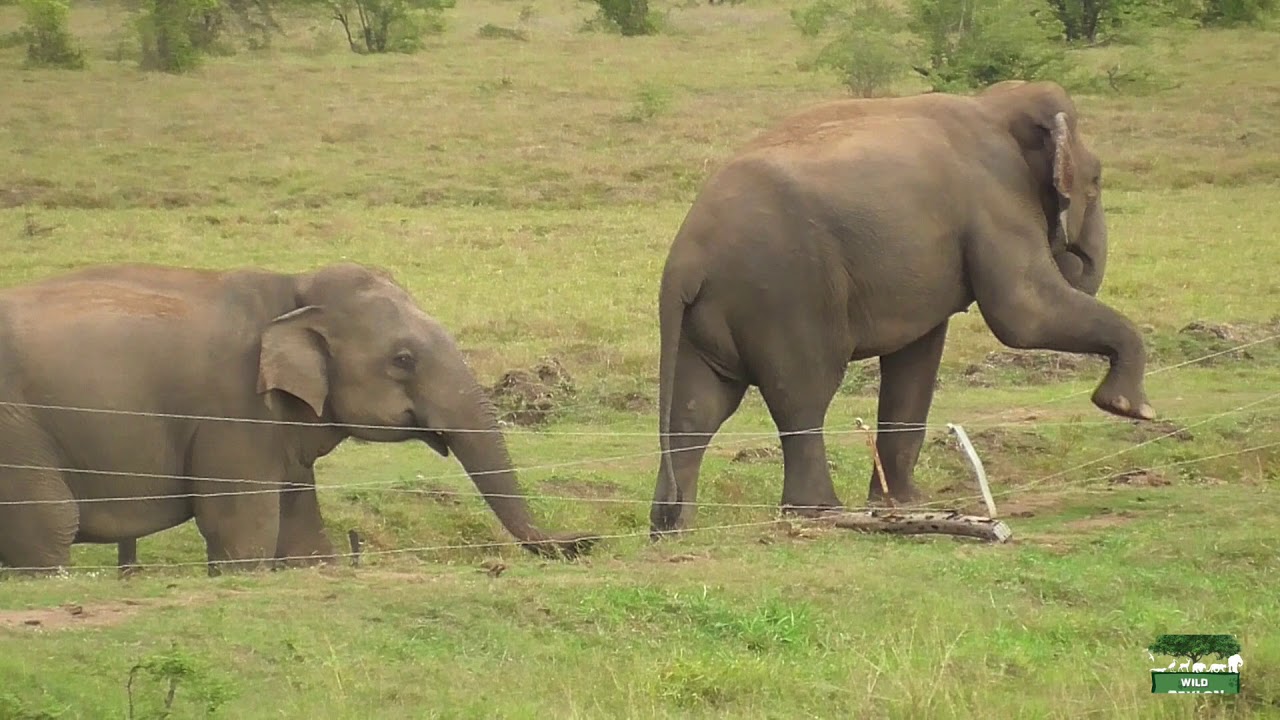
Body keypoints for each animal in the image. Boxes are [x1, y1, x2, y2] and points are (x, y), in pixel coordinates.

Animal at [0, 262, 597, 574]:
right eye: (403, 359)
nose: (587, 540)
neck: (292, 286)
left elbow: (302, 533)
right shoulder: (234, 411)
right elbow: (241, 528)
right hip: (17, 431)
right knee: (50, 523)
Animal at [649, 80, 1155, 534]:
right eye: (1097, 181)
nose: (1071, 249)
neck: (993, 102)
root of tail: (684, 261)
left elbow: (918, 354)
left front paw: (909, 504)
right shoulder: (996, 199)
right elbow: (1022, 314)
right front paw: (1132, 408)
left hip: (710, 314)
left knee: (699, 406)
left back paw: (671, 528)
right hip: (785, 294)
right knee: (801, 393)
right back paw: (820, 515)